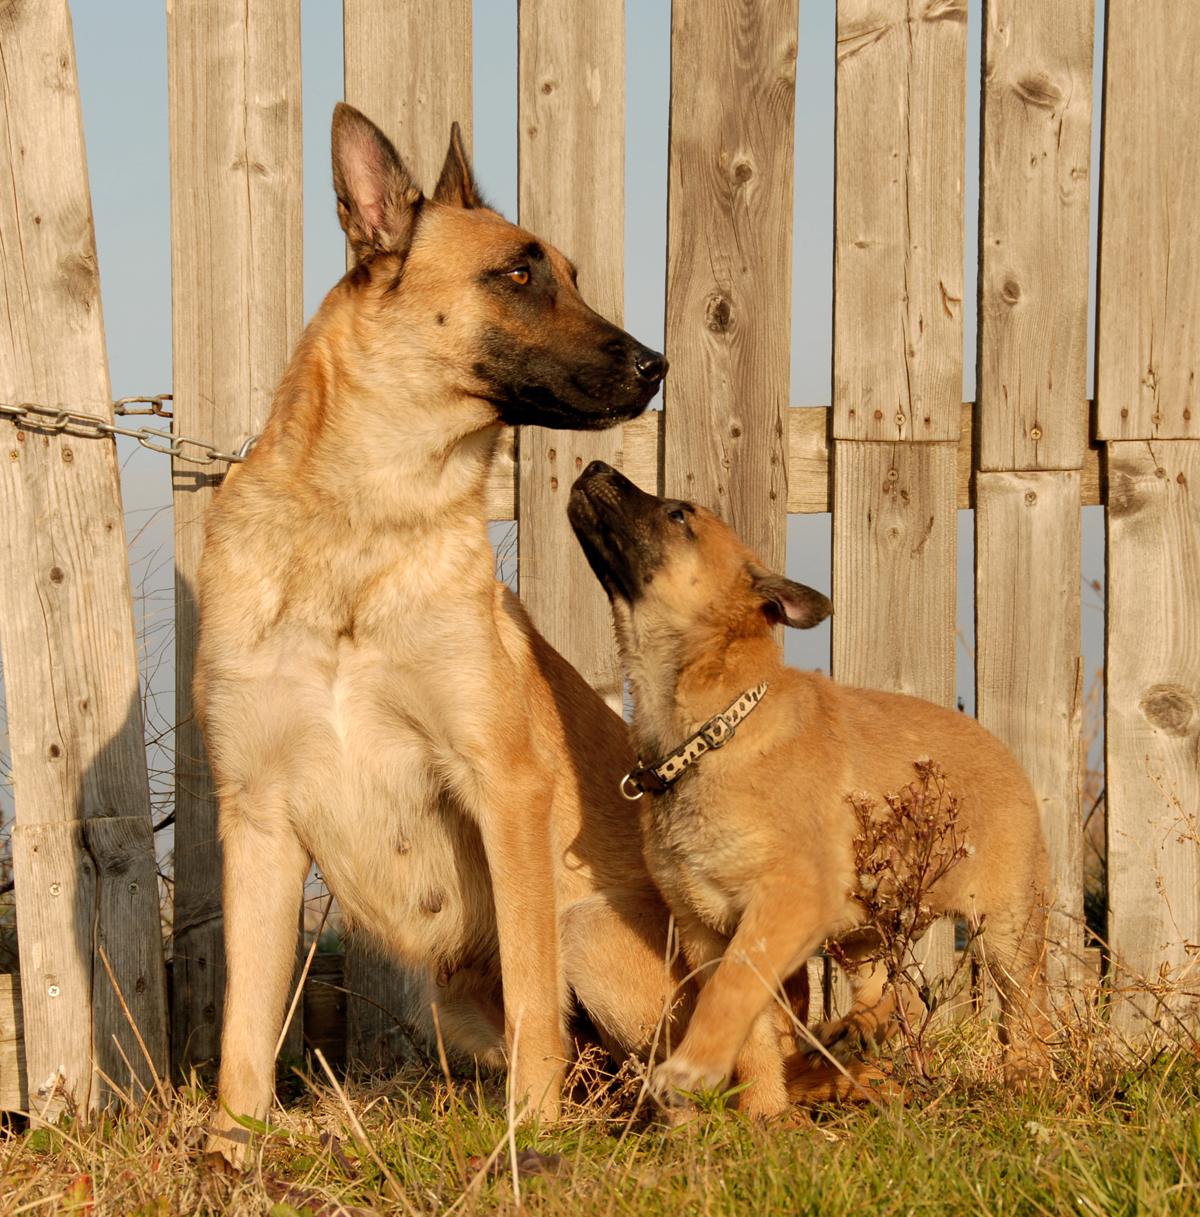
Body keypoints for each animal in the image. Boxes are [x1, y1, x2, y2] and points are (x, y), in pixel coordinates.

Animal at [195, 107, 681, 1158]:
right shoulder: (255, 817)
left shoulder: (506, 788)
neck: (360, 531)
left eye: (567, 271)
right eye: (519, 274)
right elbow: (244, 1023)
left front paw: (529, 1140)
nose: (656, 364)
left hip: (589, 928)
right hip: (452, 1003)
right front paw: (230, 1150)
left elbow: (537, 1000)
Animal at [569, 460, 1046, 1114]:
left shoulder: (783, 905)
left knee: (1024, 1015)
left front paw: (692, 1068)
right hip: (861, 926)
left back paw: (1026, 1082)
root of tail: (1003, 750)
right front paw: (766, 1116)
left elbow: (732, 992)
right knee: (887, 989)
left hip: (1005, 930)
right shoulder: (705, 930)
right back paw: (859, 1030)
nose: (592, 466)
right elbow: (751, 1033)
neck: (711, 733)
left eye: (678, 515)